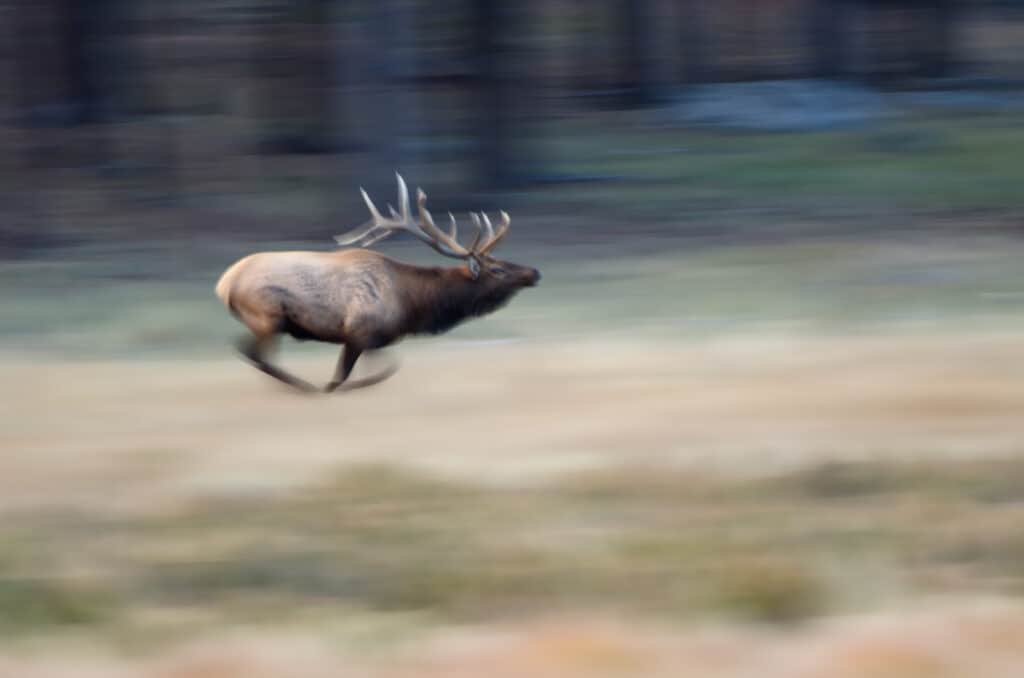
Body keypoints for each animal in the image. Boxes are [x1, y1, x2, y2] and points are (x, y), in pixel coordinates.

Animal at [212, 175, 540, 395]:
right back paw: (304, 386)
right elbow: (352, 375)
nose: (535, 272)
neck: (412, 305)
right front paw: (334, 387)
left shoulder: (377, 338)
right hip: (268, 316)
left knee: (248, 351)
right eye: (497, 269)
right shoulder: (358, 332)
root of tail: (225, 283)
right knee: (255, 353)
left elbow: (382, 369)